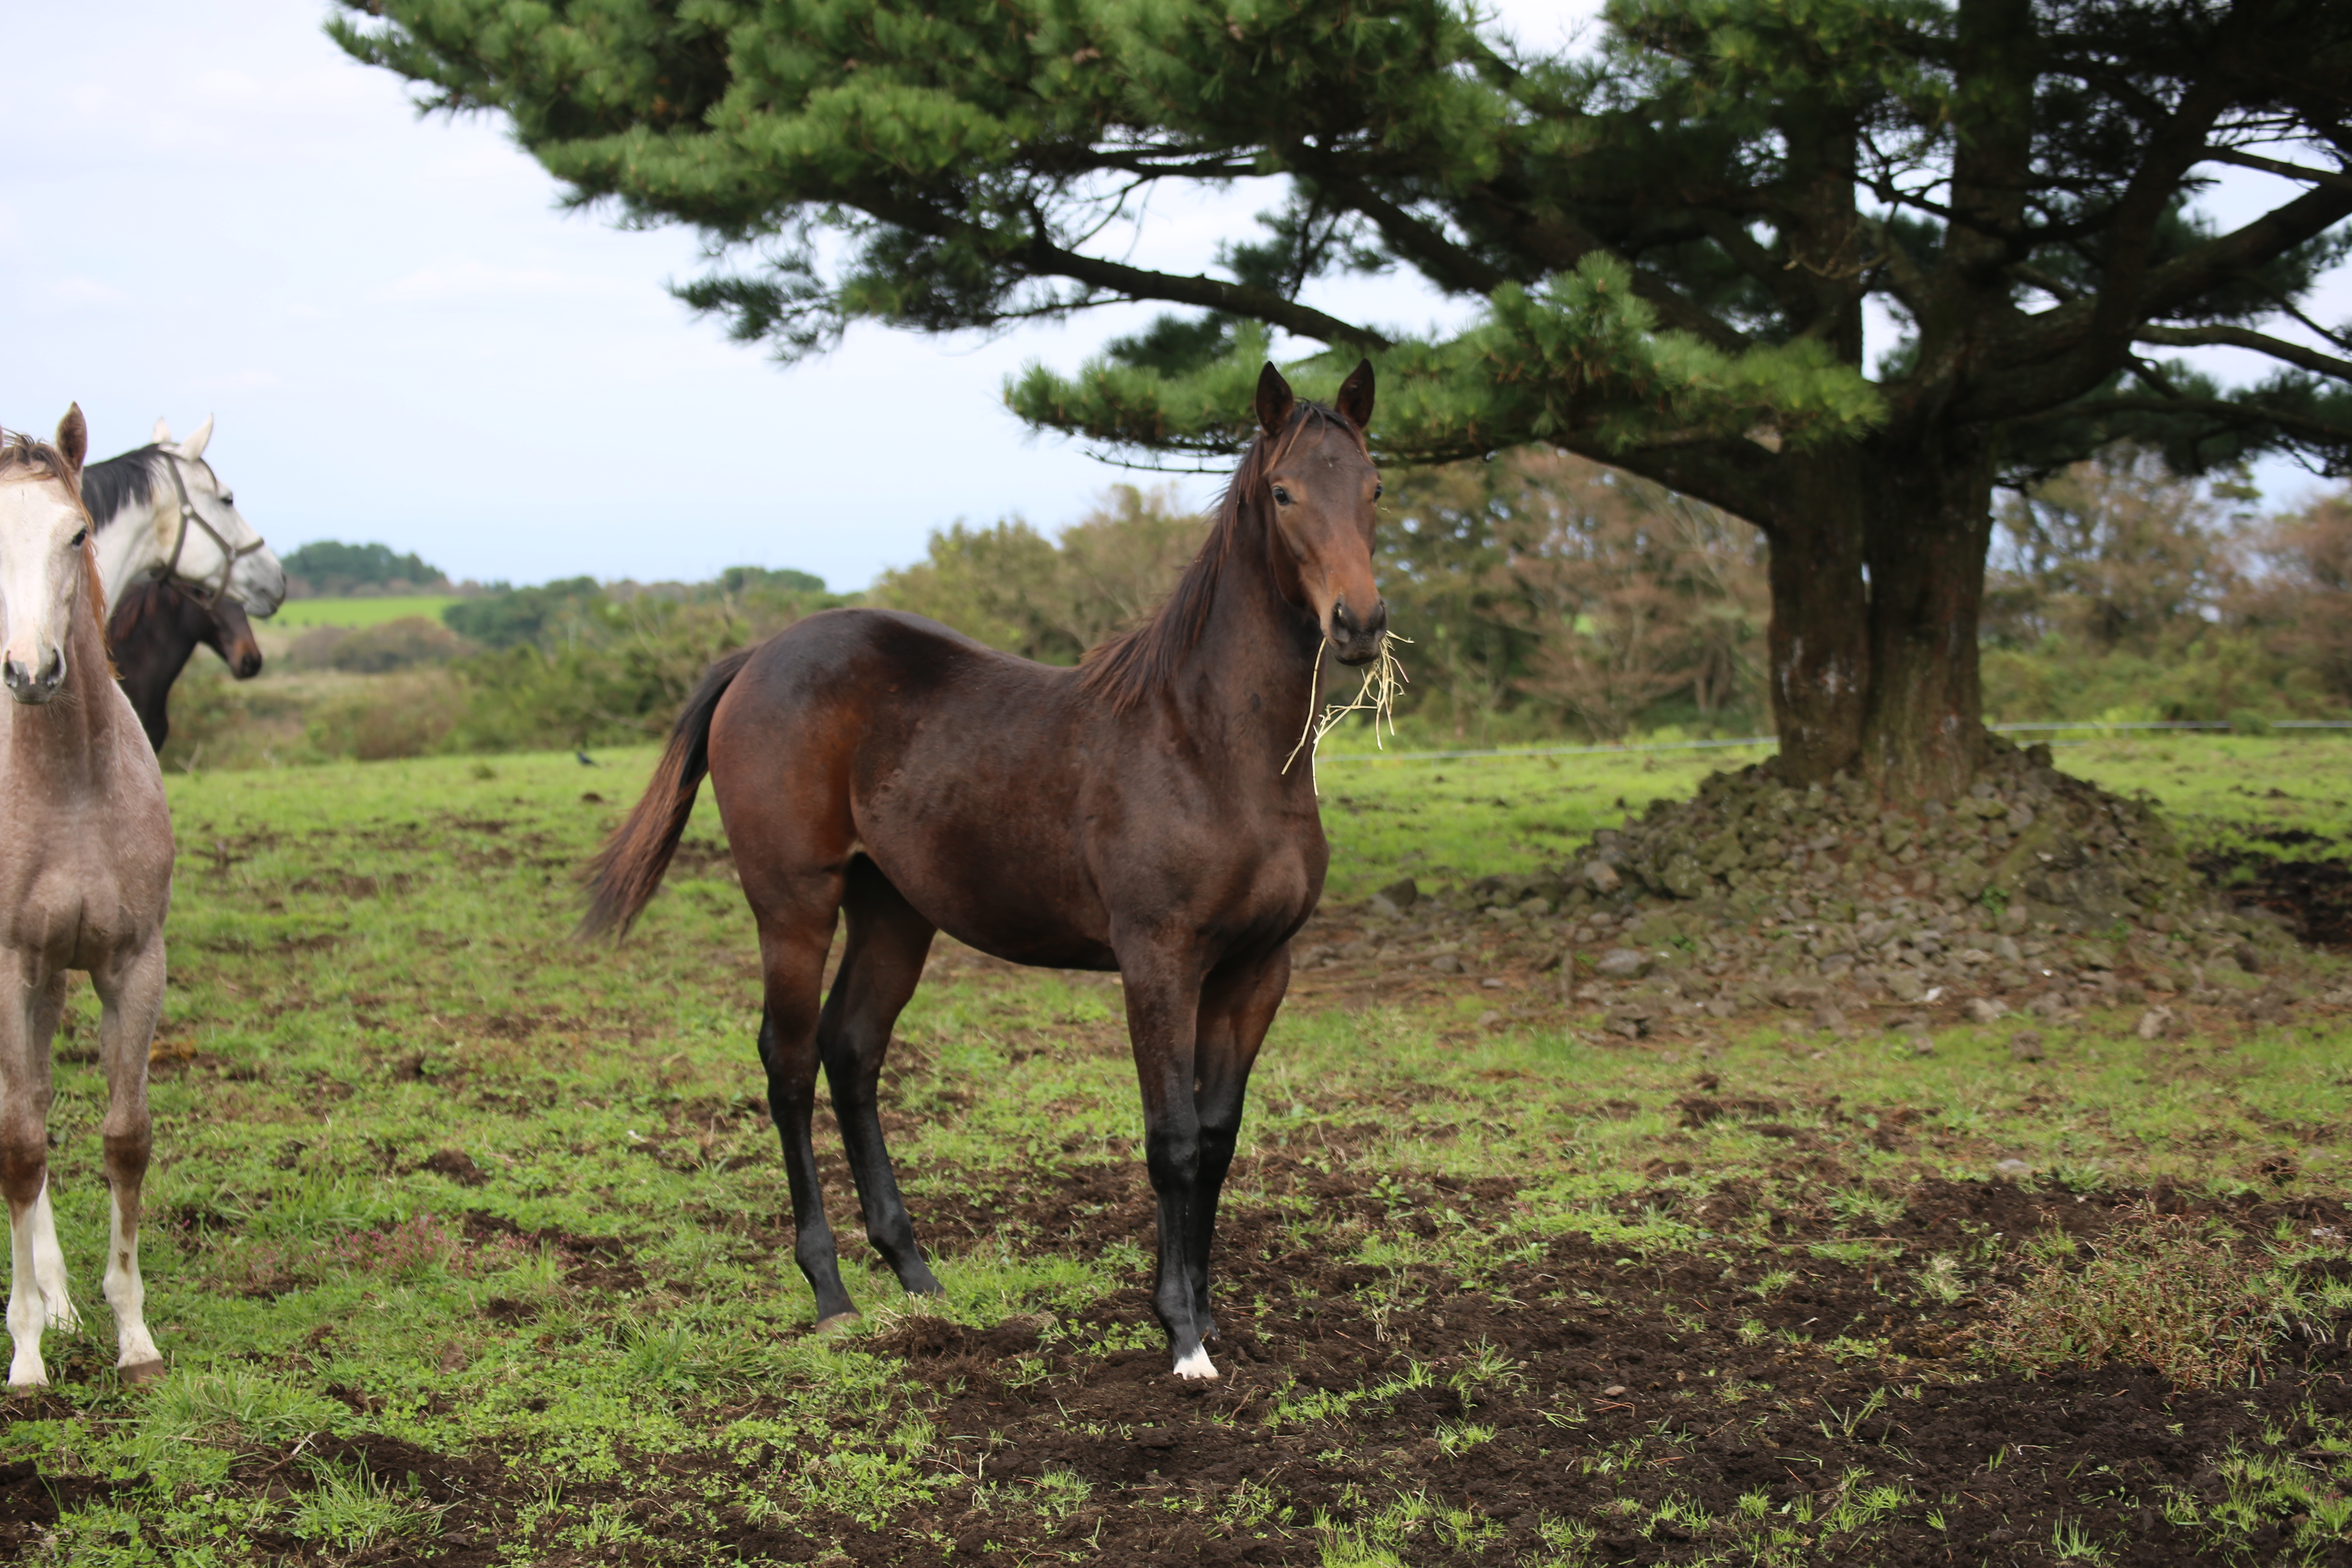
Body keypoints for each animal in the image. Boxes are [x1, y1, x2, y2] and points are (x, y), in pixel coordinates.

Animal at [588, 362, 1383, 1382]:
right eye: (1284, 493)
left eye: (1374, 488)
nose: (1360, 623)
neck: (1209, 744)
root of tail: (760, 657)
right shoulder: (1158, 964)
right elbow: (1170, 1141)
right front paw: (1179, 1339)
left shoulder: (1256, 971)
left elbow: (1217, 1139)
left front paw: (1208, 1318)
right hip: (794, 907)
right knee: (790, 1062)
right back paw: (832, 1295)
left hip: (894, 913)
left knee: (853, 1051)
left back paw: (917, 1278)